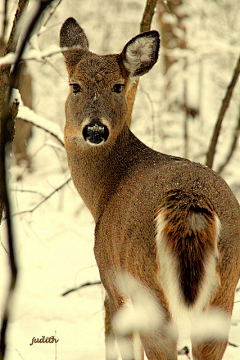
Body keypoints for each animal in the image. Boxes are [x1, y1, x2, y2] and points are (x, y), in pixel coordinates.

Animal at [59, 16, 240, 360]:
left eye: (118, 86)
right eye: (75, 85)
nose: (95, 130)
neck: (104, 192)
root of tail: (189, 203)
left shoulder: (111, 280)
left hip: (145, 280)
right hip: (225, 286)